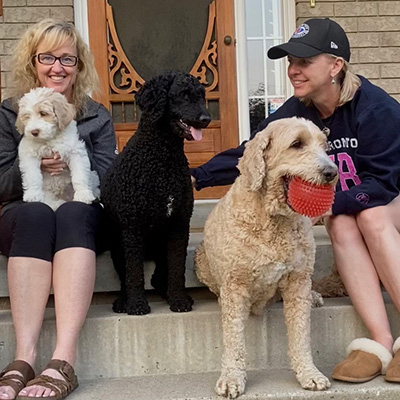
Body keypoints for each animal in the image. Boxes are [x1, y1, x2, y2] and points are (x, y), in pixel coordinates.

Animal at [101, 72, 211, 316]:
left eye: (201, 95)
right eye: (183, 95)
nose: (206, 118)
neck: (162, 157)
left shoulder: (179, 224)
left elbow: (177, 268)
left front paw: (178, 300)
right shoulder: (132, 228)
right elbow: (134, 273)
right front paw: (137, 304)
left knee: (159, 276)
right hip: (118, 245)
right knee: (126, 276)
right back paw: (123, 301)